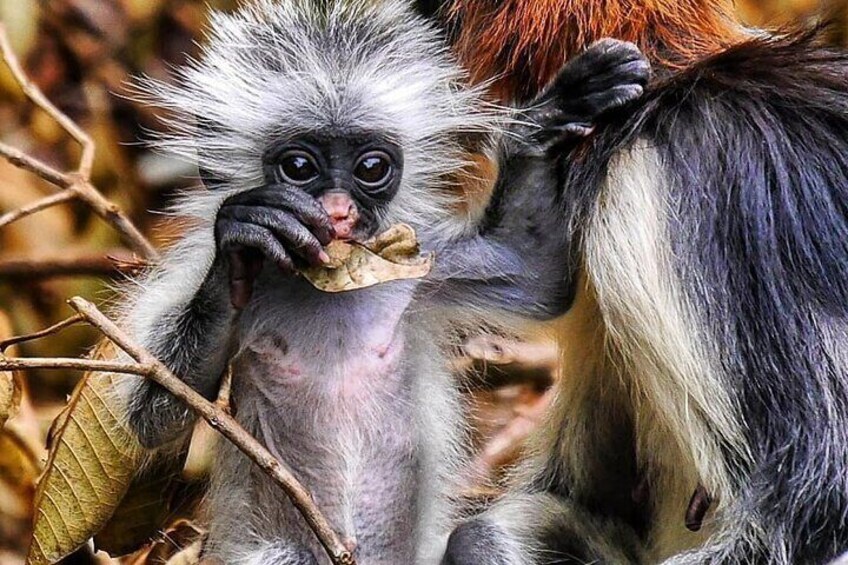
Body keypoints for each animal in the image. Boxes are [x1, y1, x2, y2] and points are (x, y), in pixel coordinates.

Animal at [116, 1, 650, 563]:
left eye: (371, 167)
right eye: (298, 167)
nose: (338, 212)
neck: (328, 286)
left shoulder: (419, 259)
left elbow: (534, 273)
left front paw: (545, 122)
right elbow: (153, 412)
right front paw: (243, 242)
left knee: (478, 537)